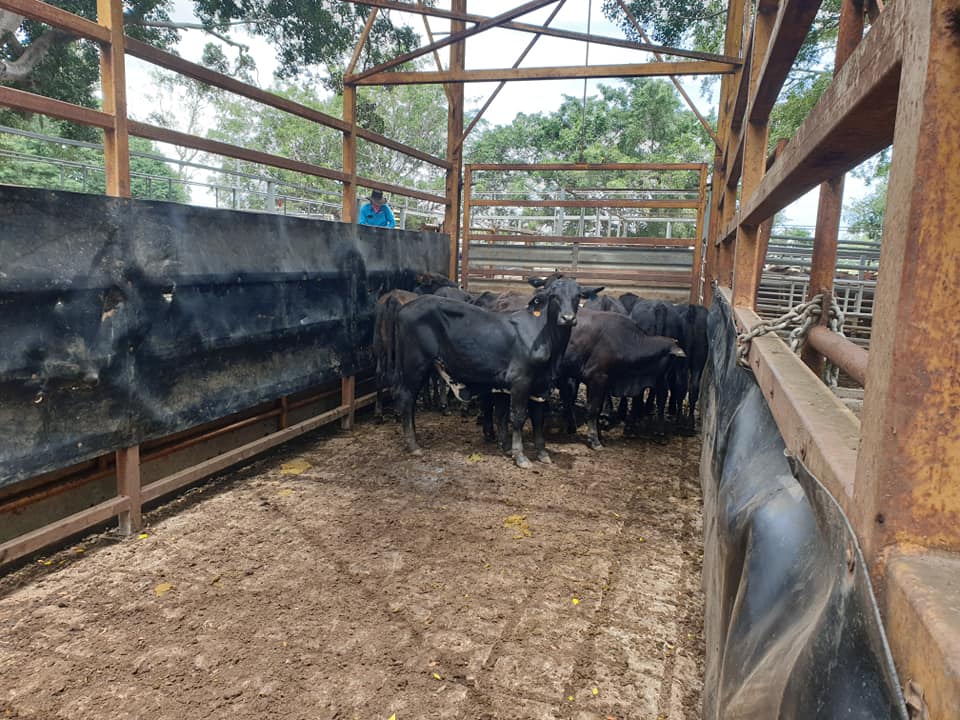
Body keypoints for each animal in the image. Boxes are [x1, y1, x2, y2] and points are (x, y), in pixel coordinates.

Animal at [387, 276, 599, 468]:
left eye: (577, 296)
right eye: (554, 295)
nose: (568, 318)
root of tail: (406, 307)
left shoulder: (541, 386)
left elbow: (536, 418)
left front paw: (541, 453)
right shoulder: (521, 382)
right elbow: (518, 417)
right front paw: (520, 456)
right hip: (415, 365)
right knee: (406, 399)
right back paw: (413, 445)